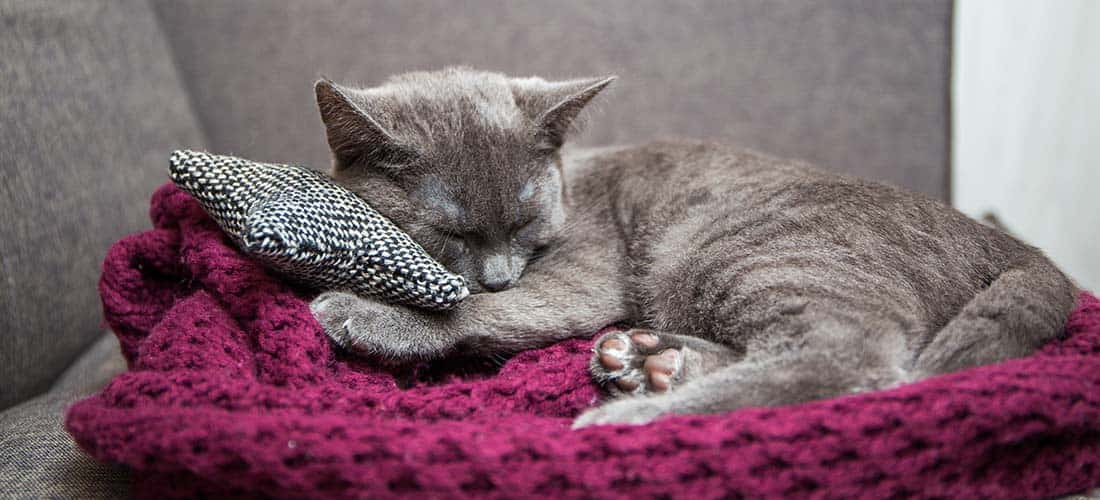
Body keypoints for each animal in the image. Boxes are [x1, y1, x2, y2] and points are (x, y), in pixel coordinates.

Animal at [308, 66, 1073, 428]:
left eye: (525, 224)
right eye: (453, 230)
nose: (497, 274)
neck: (575, 184)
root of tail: (1015, 246)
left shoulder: (584, 268)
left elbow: (495, 309)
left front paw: (368, 315)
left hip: (731, 249)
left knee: (849, 356)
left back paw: (630, 414)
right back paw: (650, 360)